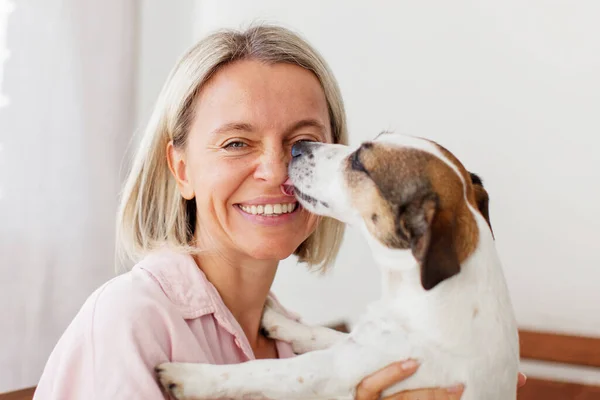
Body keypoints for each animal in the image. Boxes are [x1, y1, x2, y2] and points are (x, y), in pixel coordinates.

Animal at [156, 133, 520, 398]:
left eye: (359, 161)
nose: (298, 147)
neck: (416, 293)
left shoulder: (342, 368)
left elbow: (264, 370)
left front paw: (189, 375)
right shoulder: (357, 343)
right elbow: (324, 333)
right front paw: (279, 321)